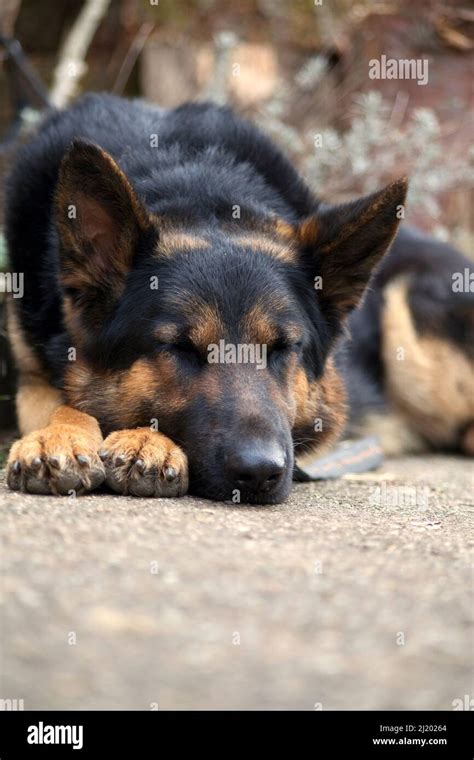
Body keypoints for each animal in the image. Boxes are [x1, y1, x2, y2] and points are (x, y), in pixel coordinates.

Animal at [4, 92, 474, 502]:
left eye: (283, 348)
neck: (193, 182)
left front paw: (144, 439)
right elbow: (56, 402)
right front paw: (59, 434)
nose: (260, 472)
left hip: (407, 319)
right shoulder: (30, 373)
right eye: (180, 348)